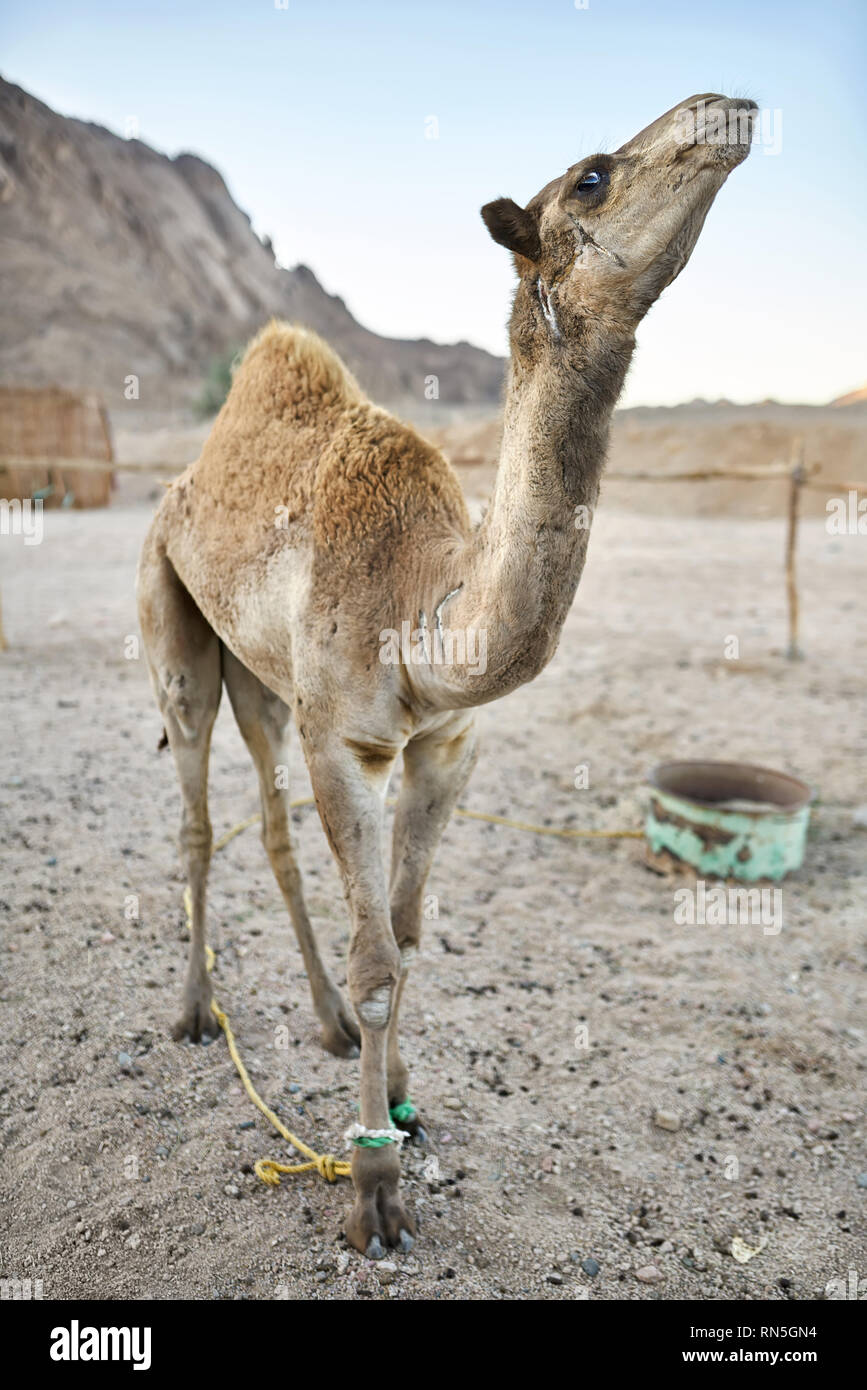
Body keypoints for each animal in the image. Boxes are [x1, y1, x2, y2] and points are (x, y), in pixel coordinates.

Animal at [135, 92, 750, 1256]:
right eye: (592, 175)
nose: (723, 110)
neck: (425, 614)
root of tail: (182, 481)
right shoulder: (348, 740)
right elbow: (381, 960)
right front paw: (374, 1191)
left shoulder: (447, 746)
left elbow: (408, 935)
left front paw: (403, 1096)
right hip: (174, 621)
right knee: (194, 810)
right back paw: (193, 1013)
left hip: (263, 680)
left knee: (271, 824)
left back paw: (325, 1024)